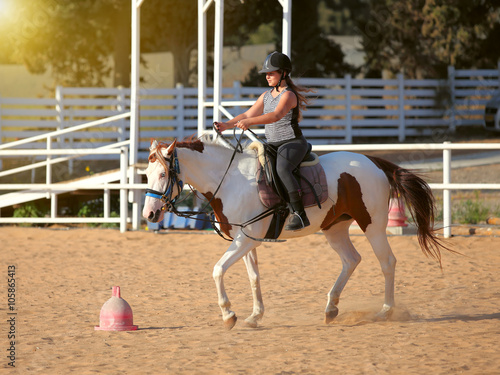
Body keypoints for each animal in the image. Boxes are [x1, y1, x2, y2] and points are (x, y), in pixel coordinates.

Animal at [142, 137, 450, 330]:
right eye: (146, 174)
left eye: (163, 174)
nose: (149, 215)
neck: (229, 180)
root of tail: (373, 162)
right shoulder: (248, 241)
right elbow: (254, 277)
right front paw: (255, 316)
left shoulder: (243, 240)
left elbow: (217, 270)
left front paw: (229, 314)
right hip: (335, 228)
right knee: (351, 260)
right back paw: (331, 308)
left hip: (372, 225)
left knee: (387, 262)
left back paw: (385, 311)